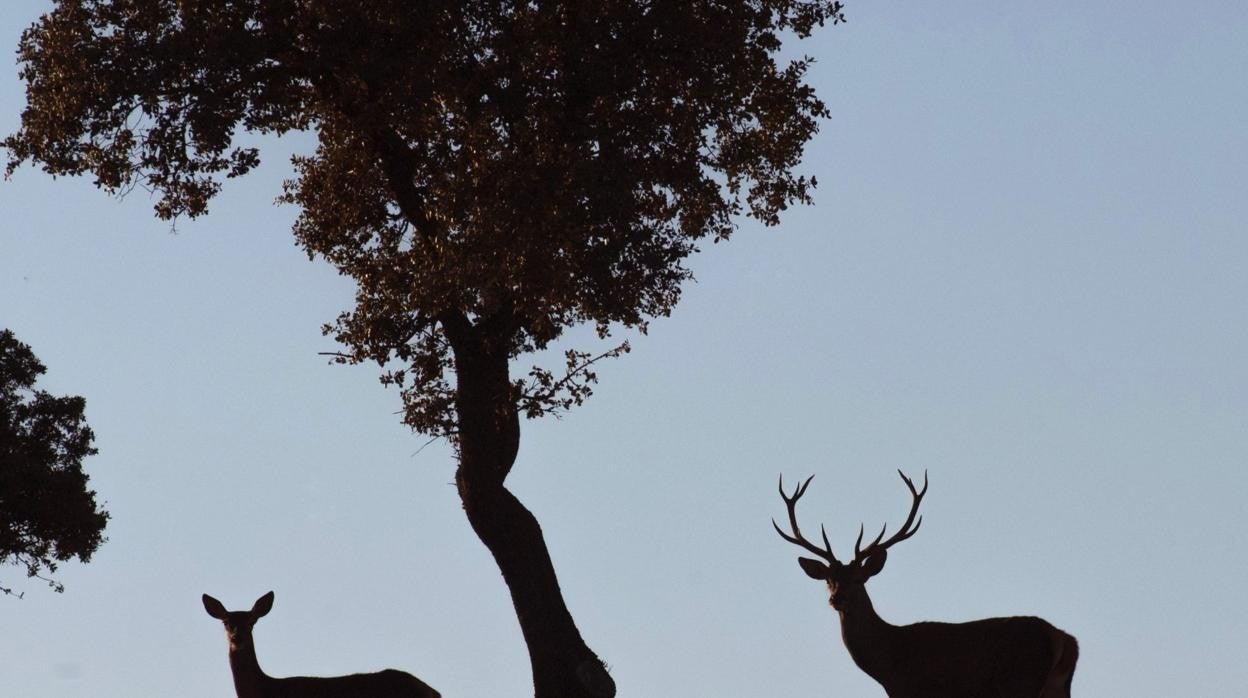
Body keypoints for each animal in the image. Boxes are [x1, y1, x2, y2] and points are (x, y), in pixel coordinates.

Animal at [768, 471, 1073, 694]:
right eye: (829, 580)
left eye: (858, 579)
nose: (836, 599)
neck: (890, 663)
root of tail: (1064, 640)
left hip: (1020, 681)